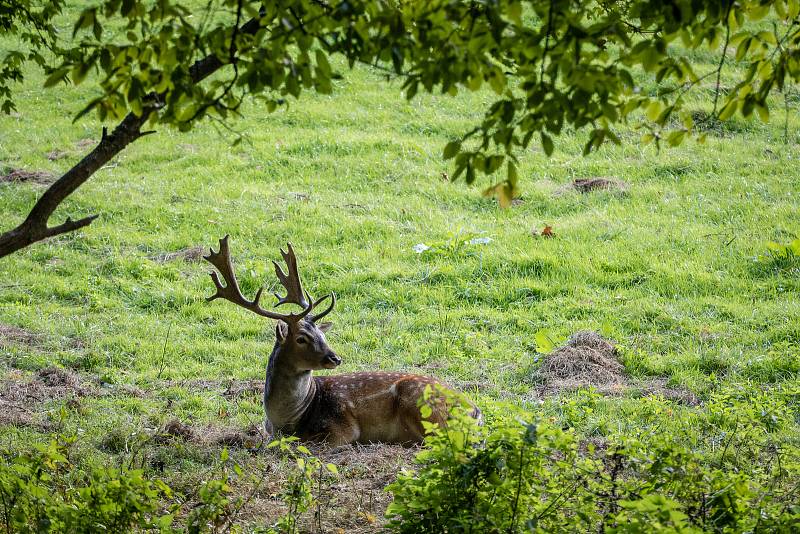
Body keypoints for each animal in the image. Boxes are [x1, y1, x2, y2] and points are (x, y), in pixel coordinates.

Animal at [206, 238, 482, 448]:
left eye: (323, 335)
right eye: (302, 338)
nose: (335, 358)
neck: (285, 420)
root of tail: (475, 411)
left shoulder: (341, 429)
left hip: (424, 407)